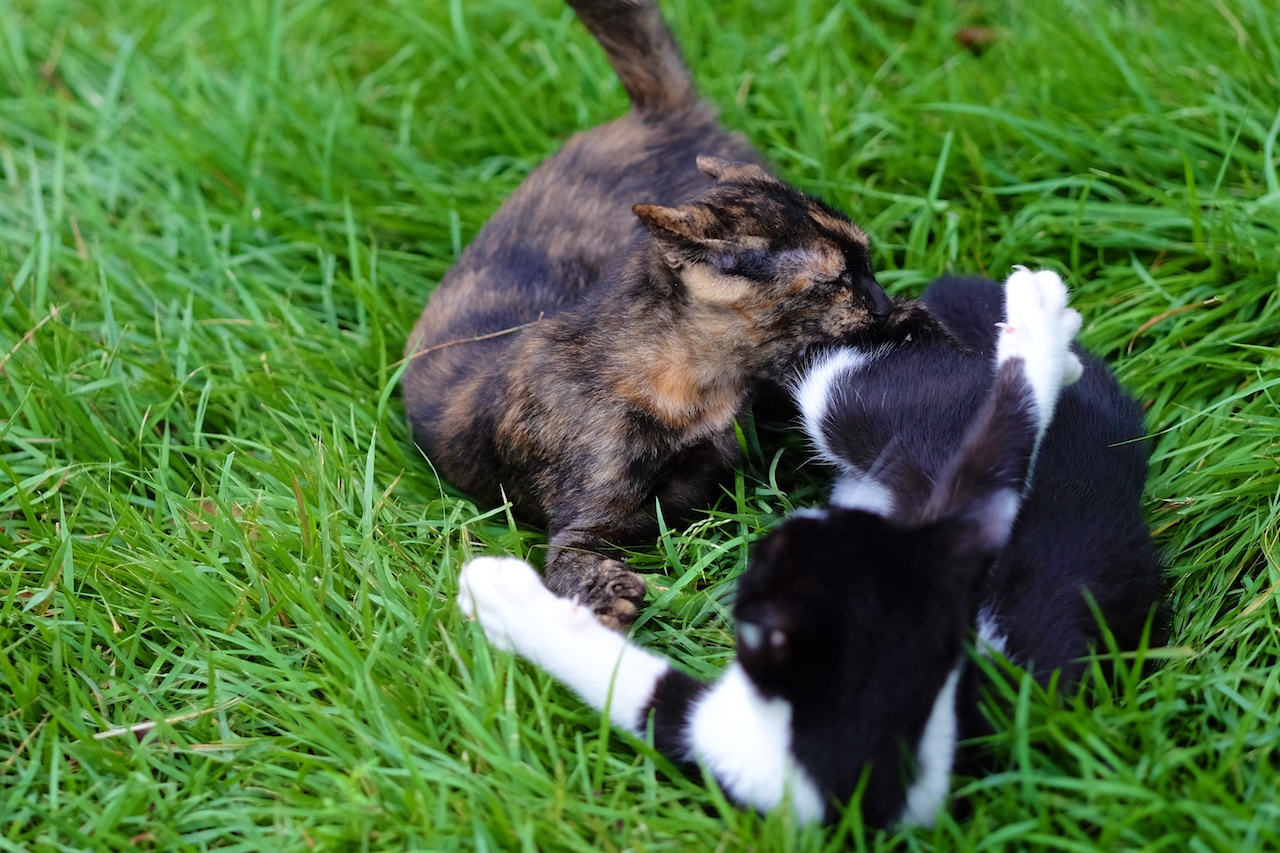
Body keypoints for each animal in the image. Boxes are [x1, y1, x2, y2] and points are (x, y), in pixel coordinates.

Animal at [404, 0, 942, 628]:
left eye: (868, 264)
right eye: (835, 282)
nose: (880, 302)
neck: (699, 385)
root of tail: (653, 113)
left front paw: (913, 323)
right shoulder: (589, 518)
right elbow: (568, 561)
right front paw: (605, 591)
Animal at [456, 268, 1167, 826]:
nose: (803, 521)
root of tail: (1119, 446)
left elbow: (1006, 427)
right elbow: (617, 677)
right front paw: (504, 600)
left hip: (847, 397)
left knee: (842, 360)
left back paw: (1042, 326)